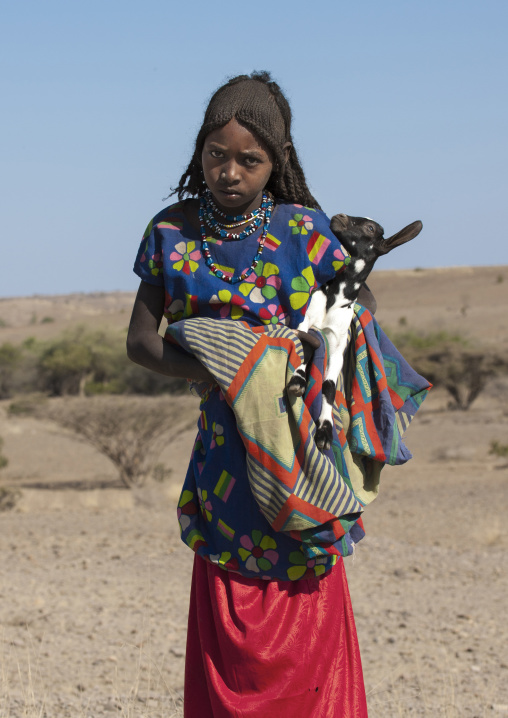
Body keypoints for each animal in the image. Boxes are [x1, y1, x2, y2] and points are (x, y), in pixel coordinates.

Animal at [288, 213, 423, 450]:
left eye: (370, 228)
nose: (338, 216)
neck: (334, 296)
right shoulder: (306, 320)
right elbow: (304, 344)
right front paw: (298, 380)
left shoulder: (337, 343)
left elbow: (329, 386)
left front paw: (325, 431)